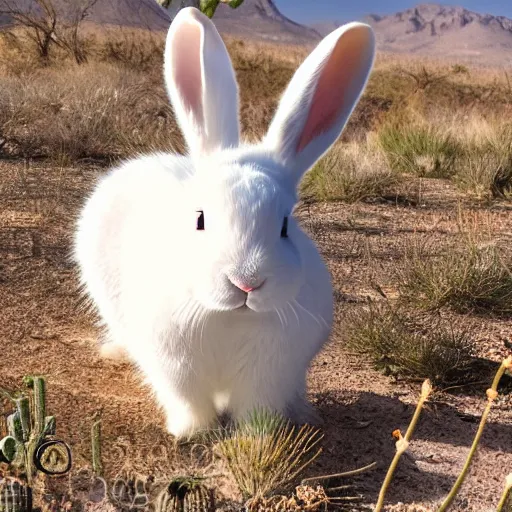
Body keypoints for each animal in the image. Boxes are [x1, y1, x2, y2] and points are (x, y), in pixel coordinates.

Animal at [73, 7, 376, 436]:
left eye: (285, 225)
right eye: (200, 219)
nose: (246, 282)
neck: (228, 316)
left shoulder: (270, 374)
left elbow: (256, 408)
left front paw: (257, 434)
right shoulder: (174, 365)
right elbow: (187, 400)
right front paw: (192, 432)